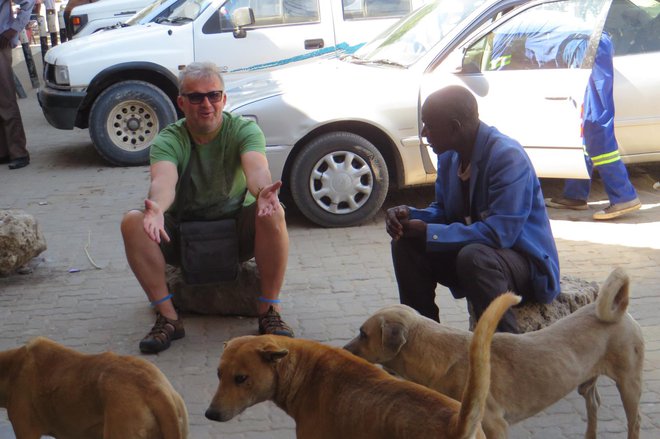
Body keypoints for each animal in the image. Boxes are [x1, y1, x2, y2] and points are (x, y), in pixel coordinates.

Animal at [346, 268, 644, 439]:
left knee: (635, 421)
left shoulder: (494, 425)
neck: (442, 355)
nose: (344, 350)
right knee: (593, 403)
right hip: (586, 382)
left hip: (629, 384)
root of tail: (619, 308)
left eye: (363, 333)